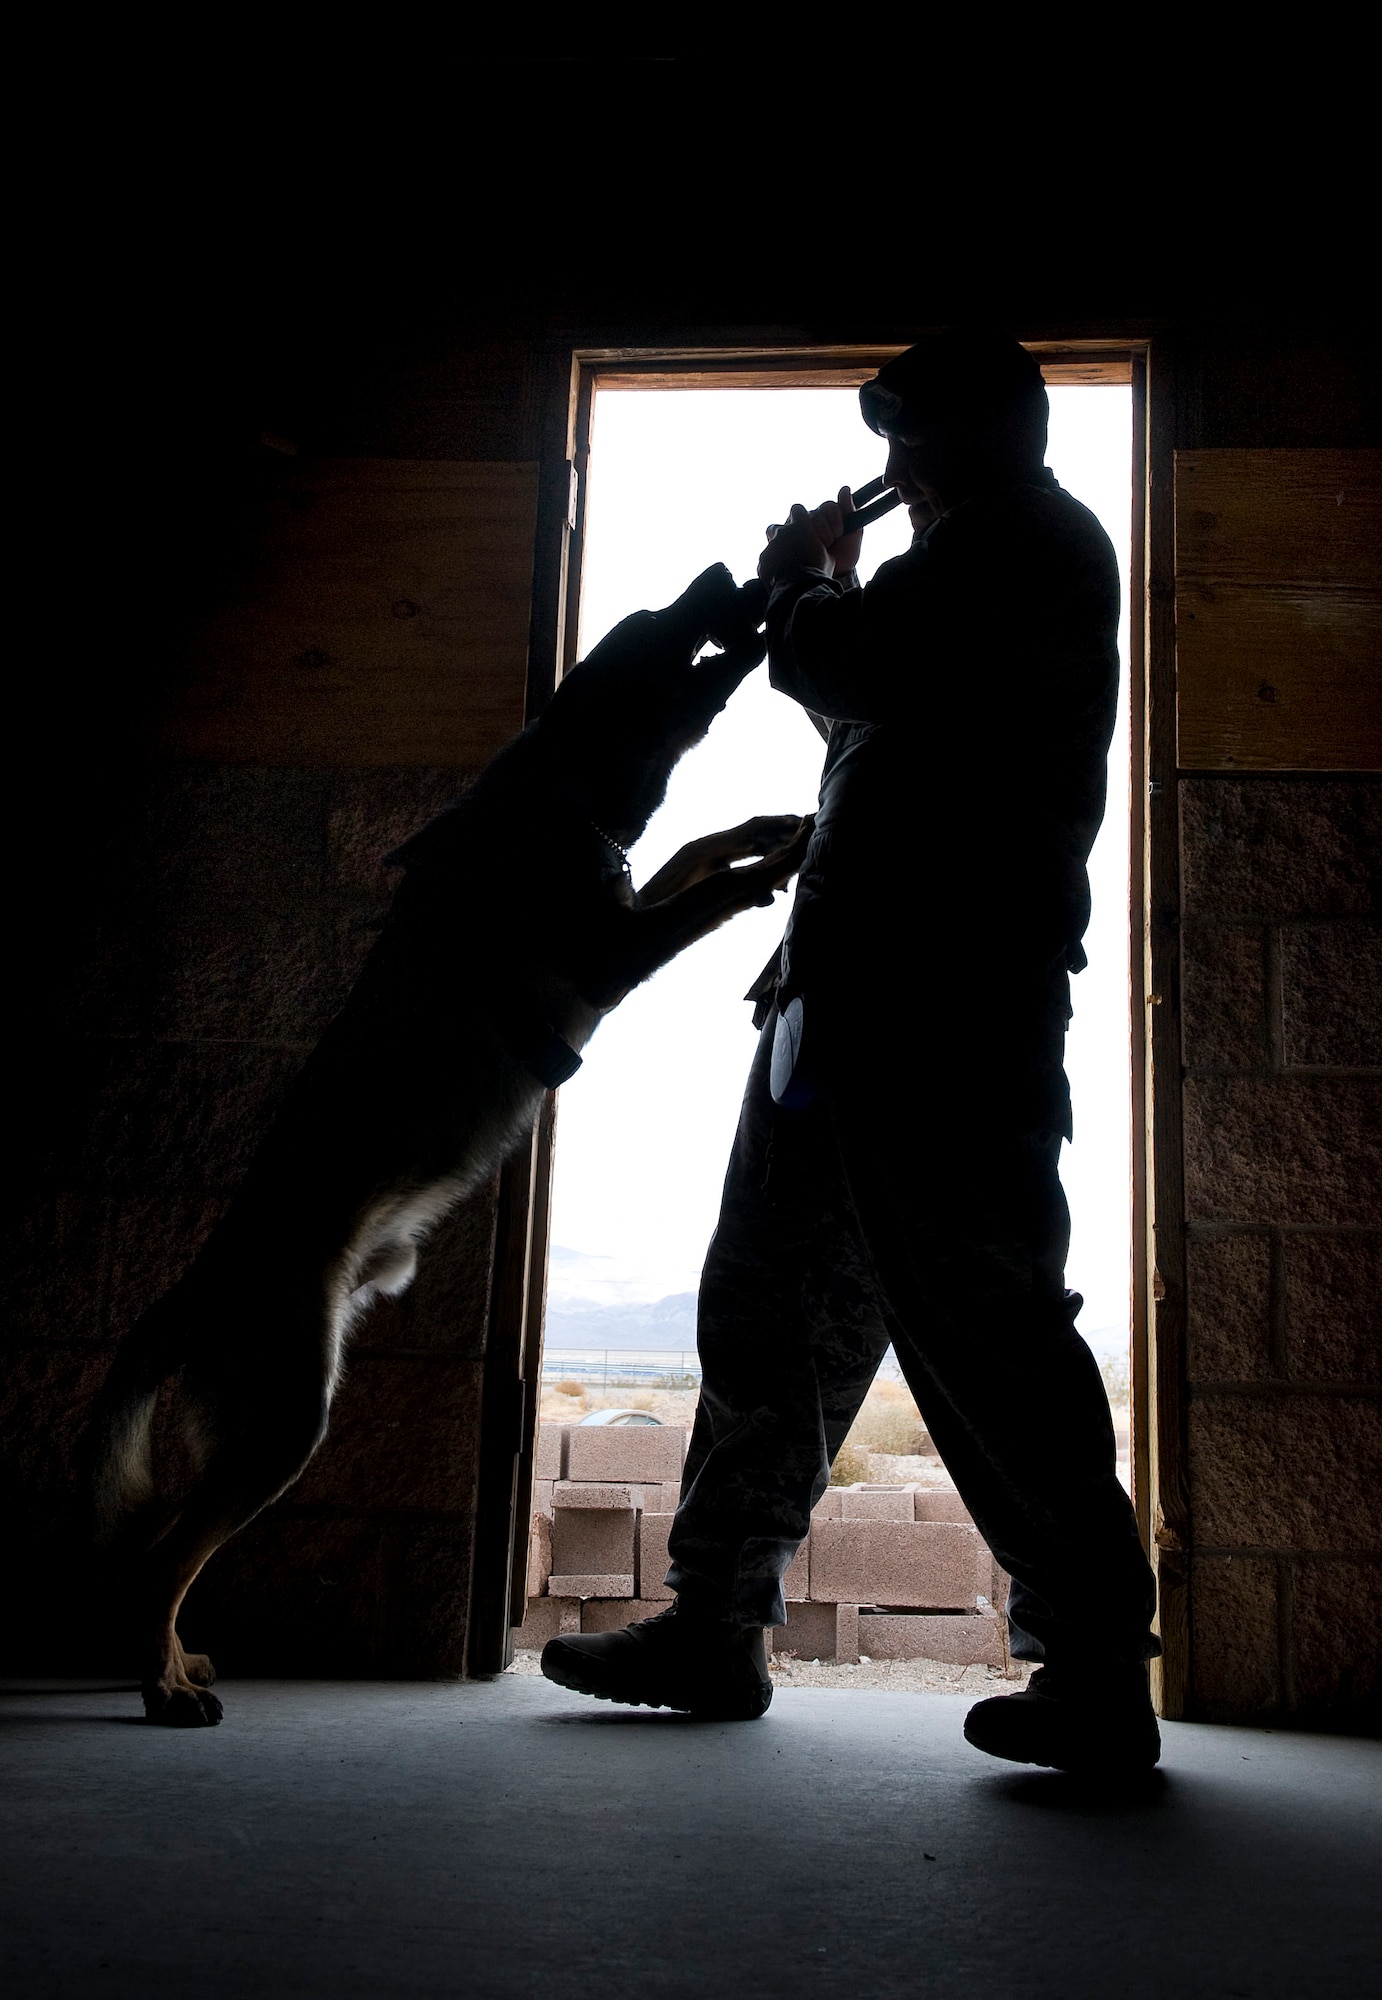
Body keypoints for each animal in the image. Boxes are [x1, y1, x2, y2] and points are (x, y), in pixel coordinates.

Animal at [89, 564, 812, 1720]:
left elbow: (687, 856)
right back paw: (161, 1682)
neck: (553, 797)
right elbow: (697, 894)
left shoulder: (618, 910)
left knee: (166, 1548)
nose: (719, 574)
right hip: (282, 1417)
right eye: (651, 625)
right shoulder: (610, 952)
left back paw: (177, 1659)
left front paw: (758, 825)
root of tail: (197, 1288)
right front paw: (776, 855)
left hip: (247, 1431)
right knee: (162, 1556)